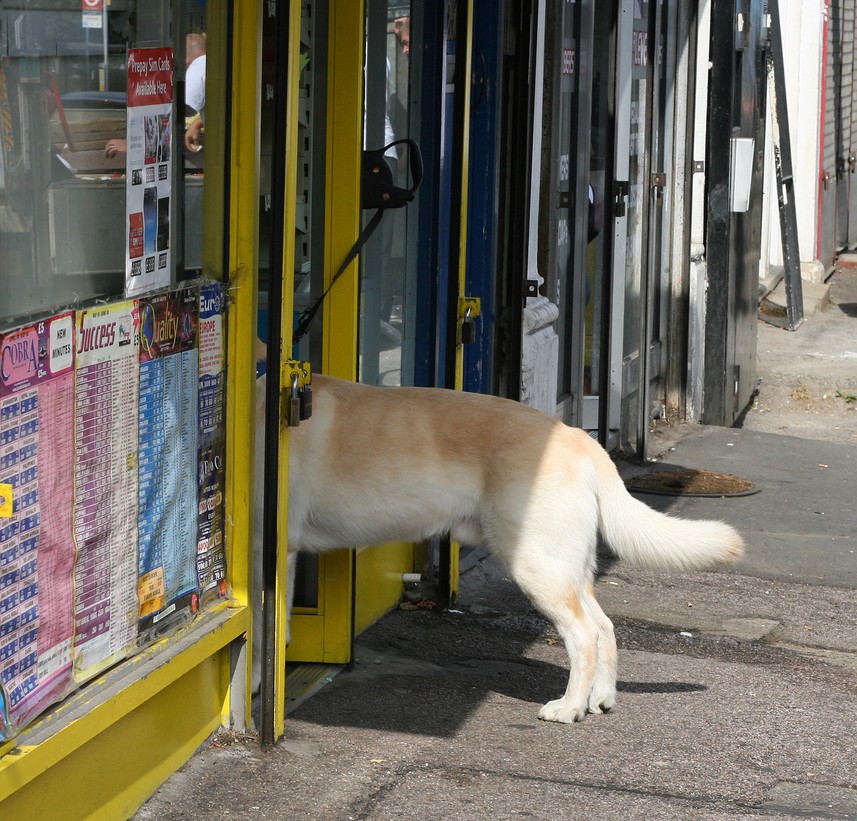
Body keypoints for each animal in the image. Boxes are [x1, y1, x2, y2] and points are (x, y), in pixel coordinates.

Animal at [254, 374, 744, 720]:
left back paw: (569, 708)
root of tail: (580, 439)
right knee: (604, 626)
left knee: (583, 635)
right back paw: (600, 699)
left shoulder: (273, 550)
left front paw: (261, 686)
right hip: (568, 568)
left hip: (536, 566)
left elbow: (266, 632)